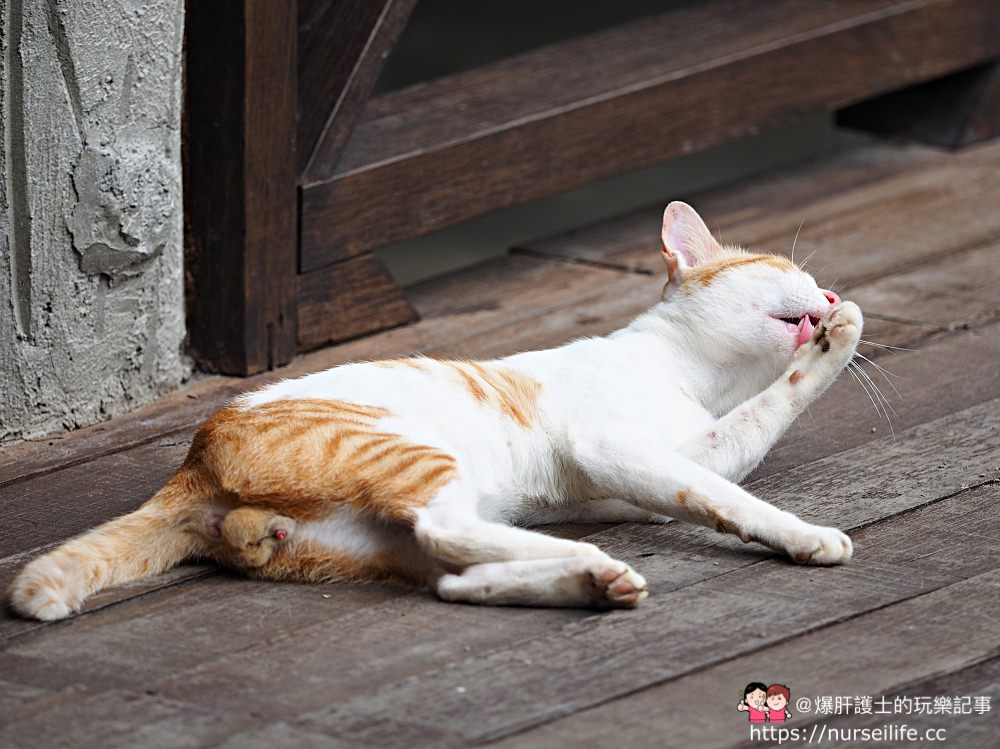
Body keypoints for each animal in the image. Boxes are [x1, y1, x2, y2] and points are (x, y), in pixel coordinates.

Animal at [7, 200, 860, 620]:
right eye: (787, 268)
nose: (827, 292)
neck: (693, 376)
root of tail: (193, 457)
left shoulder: (666, 463)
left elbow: (737, 445)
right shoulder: (618, 445)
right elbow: (741, 465)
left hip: (373, 535)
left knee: (451, 571)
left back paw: (588, 579)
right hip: (416, 452)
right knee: (448, 531)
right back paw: (588, 563)